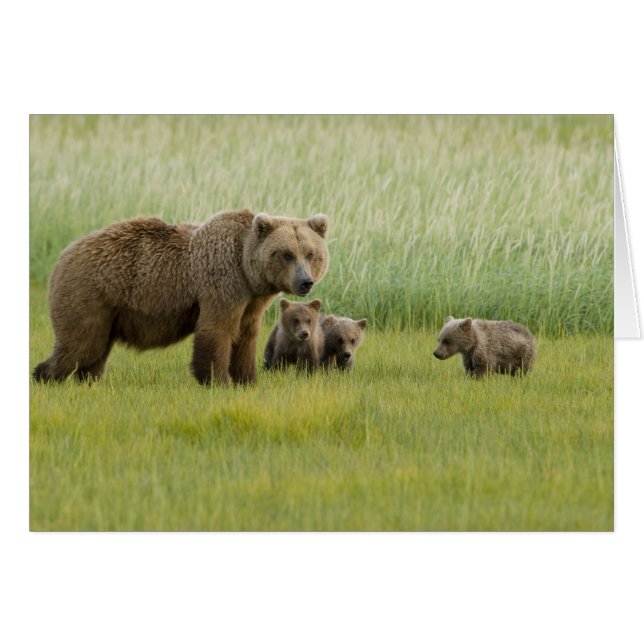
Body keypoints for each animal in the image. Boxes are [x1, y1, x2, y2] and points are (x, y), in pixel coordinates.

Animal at [33, 209, 329, 385]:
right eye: (287, 253)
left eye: (311, 253)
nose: (305, 282)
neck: (247, 270)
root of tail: (64, 253)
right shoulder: (222, 283)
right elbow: (217, 330)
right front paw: (216, 380)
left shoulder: (252, 301)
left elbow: (246, 336)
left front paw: (246, 379)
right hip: (89, 293)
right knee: (80, 344)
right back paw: (44, 376)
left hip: (108, 311)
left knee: (95, 350)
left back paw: (89, 380)